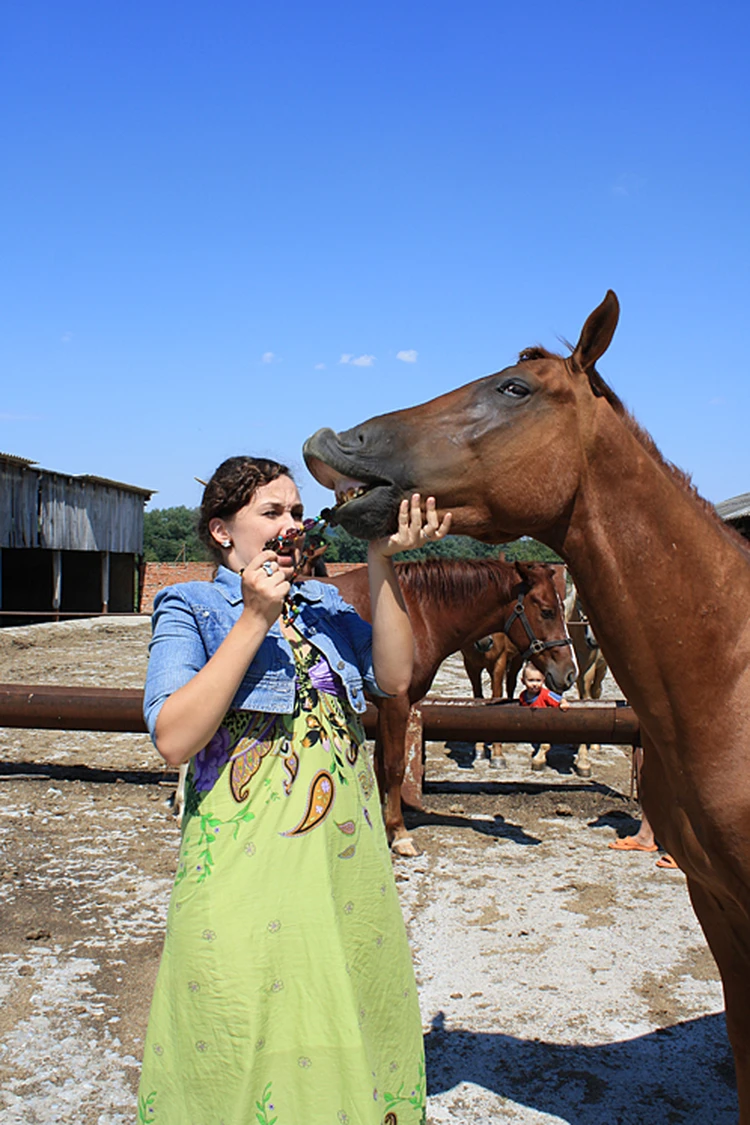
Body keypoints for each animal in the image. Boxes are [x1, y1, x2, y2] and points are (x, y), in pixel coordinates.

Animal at [323, 558, 575, 855]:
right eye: (547, 612)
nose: (569, 673)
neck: (413, 611)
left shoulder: (387, 706)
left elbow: (380, 766)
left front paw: (386, 827)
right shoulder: (396, 704)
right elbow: (395, 766)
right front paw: (399, 833)